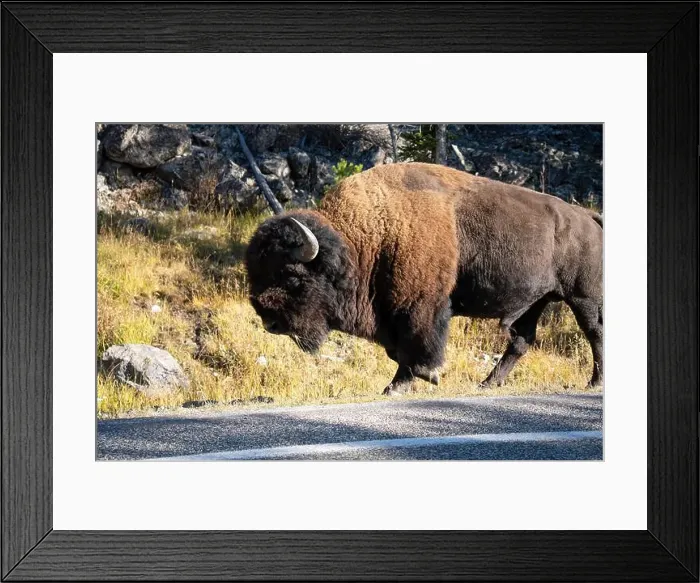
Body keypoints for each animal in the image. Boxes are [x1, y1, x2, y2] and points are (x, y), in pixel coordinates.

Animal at [245, 163, 603, 395]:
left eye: (291, 276)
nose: (270, 322)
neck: (368, 235)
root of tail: (586, 216)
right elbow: (398, 350)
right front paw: (409, 382)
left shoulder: (420, 307)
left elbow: (416, 347)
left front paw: (417, 380)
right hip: (535, 301)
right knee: (521, 340)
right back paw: (488, 383)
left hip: (582, 297)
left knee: (594, 333)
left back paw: (595, 381)